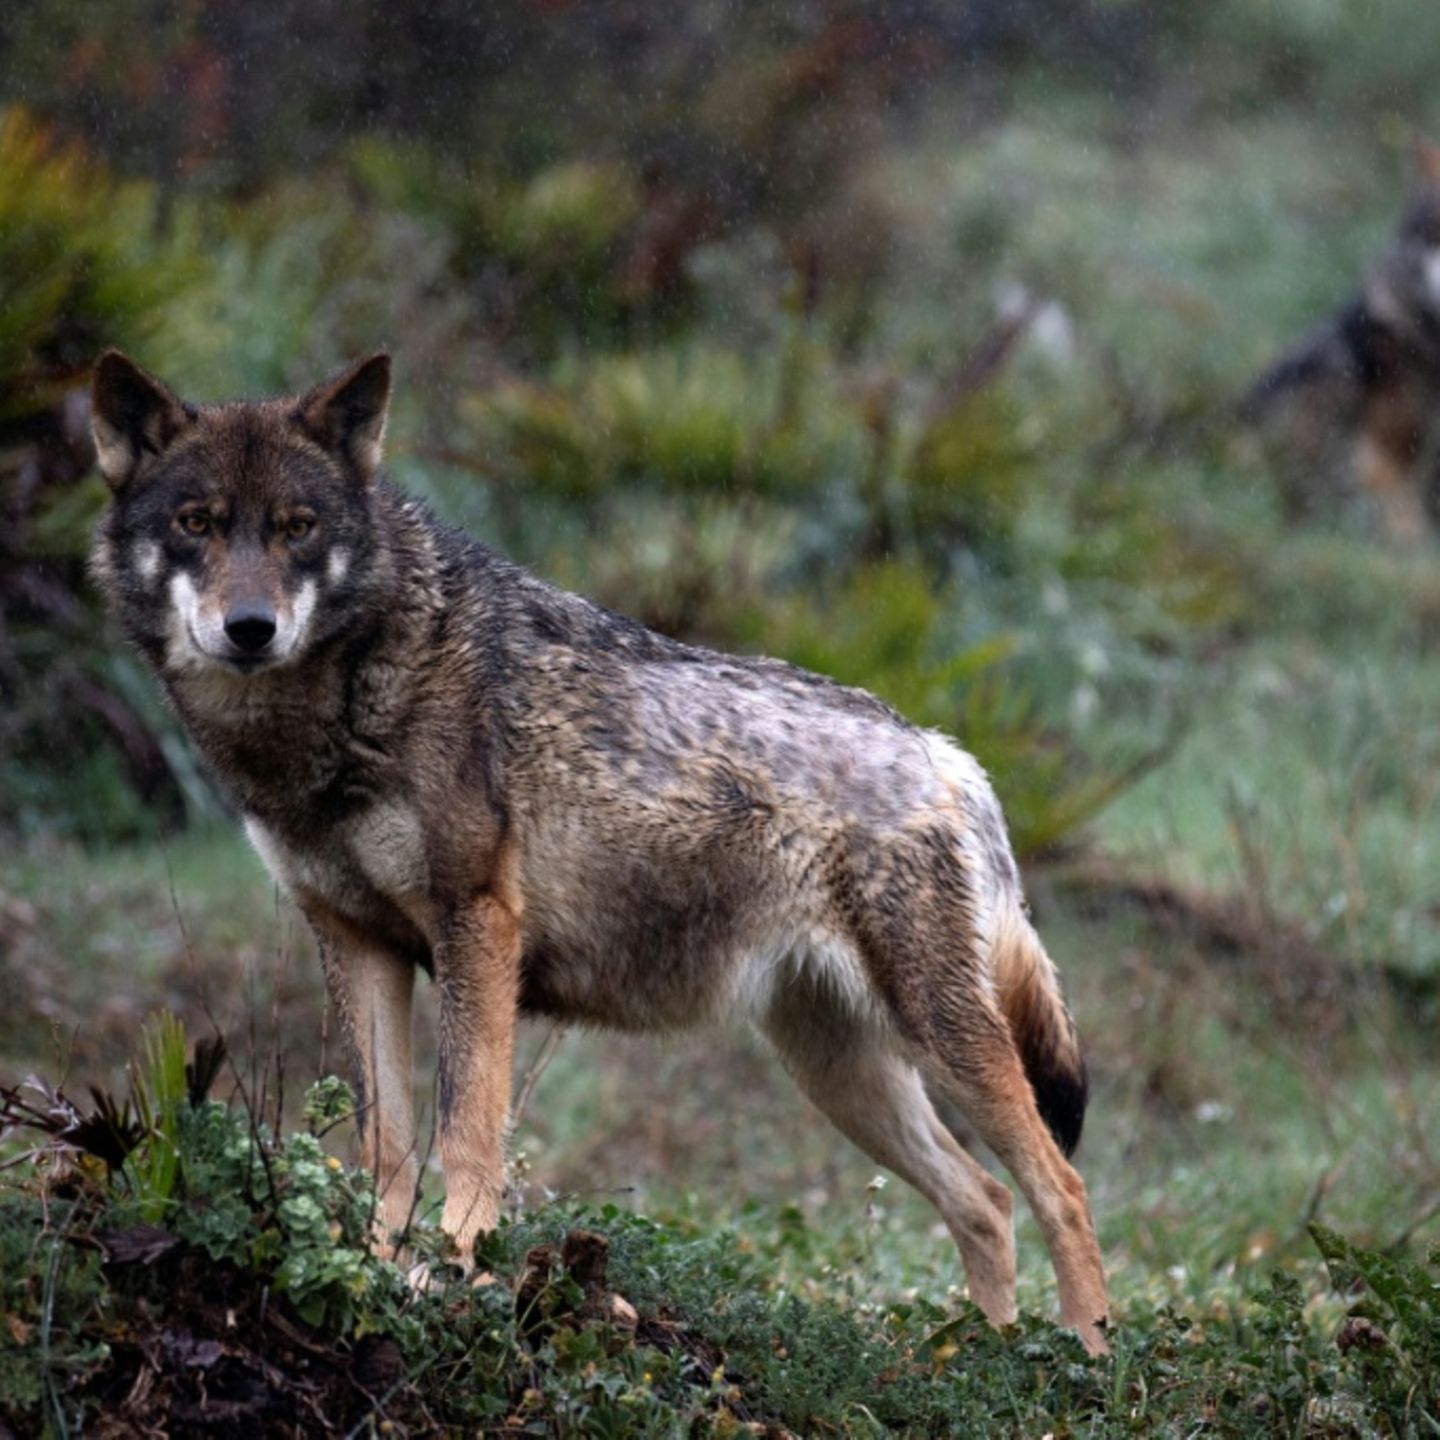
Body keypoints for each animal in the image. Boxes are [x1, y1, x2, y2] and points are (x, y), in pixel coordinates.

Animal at [89, 350, 1110, 1354]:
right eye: (196, 523)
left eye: (297, 528)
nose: (250, 628)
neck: (339, 708)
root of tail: (946, 751)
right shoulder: (354, 939)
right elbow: (386, 1145)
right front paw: (374, 1274)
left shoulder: (476, 925)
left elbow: (466, 1130)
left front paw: (456, 1276)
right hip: (839, 1074)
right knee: (986, 1201)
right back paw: (985, 1356)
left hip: (940, 1040)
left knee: (1060, 1188)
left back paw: (1079, 1365)